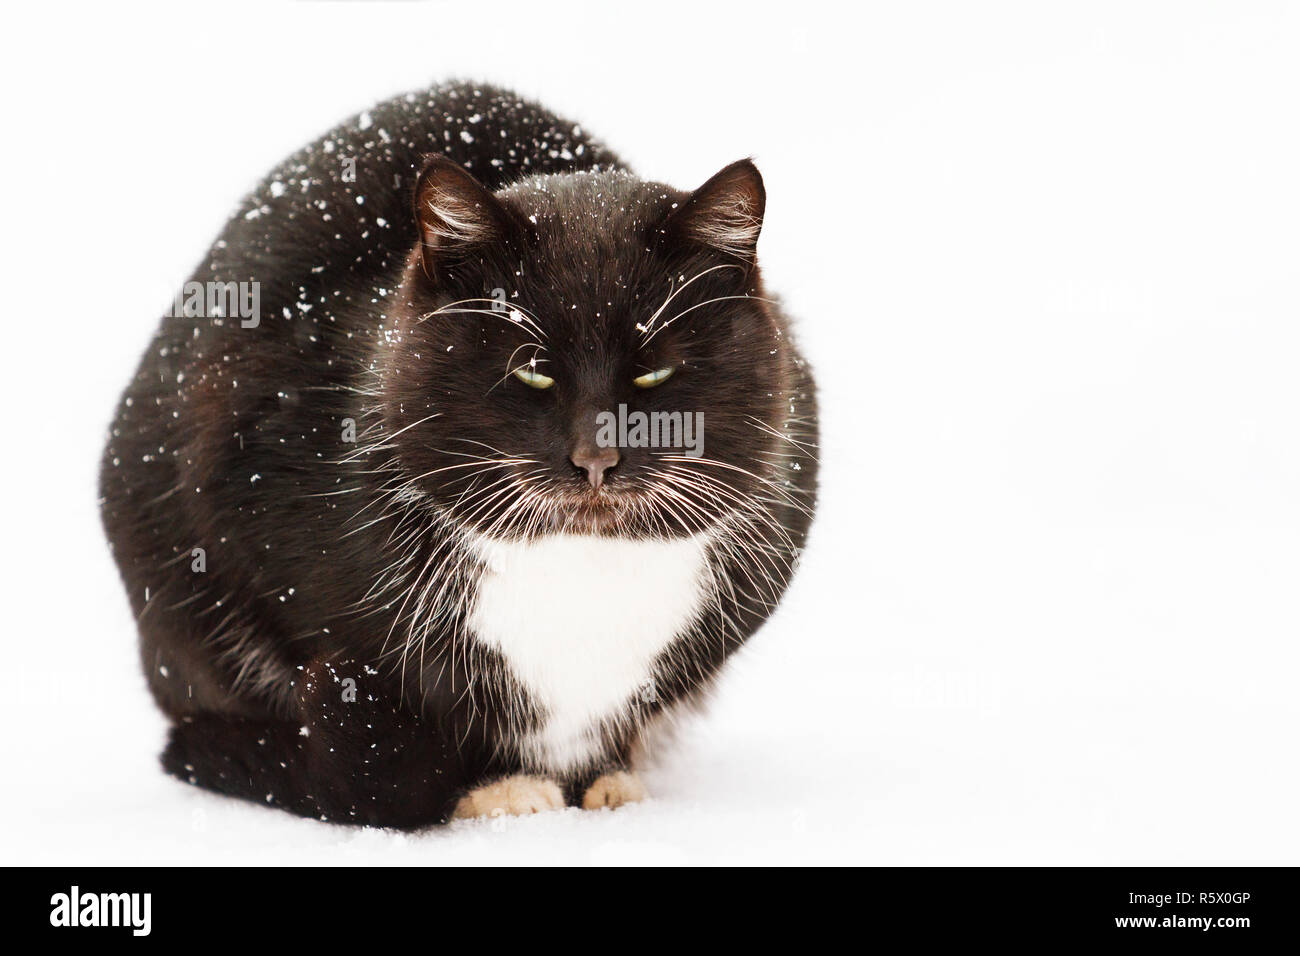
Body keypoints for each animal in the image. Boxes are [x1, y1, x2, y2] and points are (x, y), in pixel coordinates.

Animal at [101, 80, 816, 832]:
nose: (597, 457)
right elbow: (383, 760)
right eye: (532, 370)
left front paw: (606, 780)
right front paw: (497, 789)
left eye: (654, 373)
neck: (580, 565)